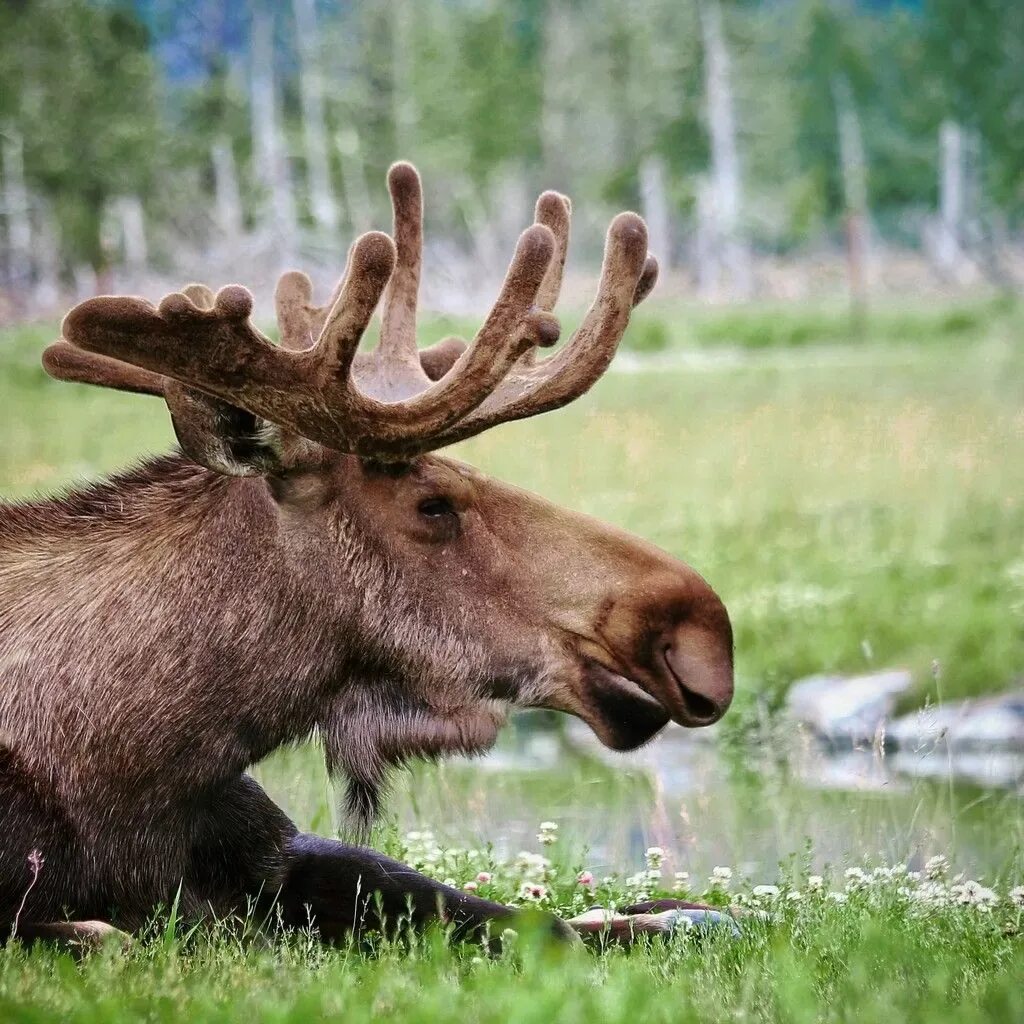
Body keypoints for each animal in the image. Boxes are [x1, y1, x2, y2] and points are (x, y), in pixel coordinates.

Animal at [2, 163, 737, 946]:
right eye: (433, 505)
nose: (699, 629)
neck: (140, 773)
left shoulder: (274, 846)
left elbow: (516, 916)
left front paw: (676, 911)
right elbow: (100, 933)